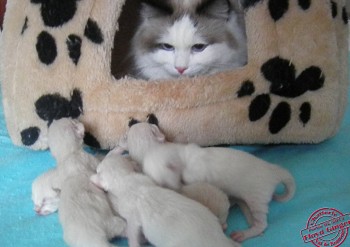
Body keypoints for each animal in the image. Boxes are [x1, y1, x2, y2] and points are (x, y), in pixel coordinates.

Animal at [119, 120, 296, 242]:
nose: (132, 121)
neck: (150, 148)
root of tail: (274, 171)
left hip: (257, 196)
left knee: (262, 222)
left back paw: (246, 232)